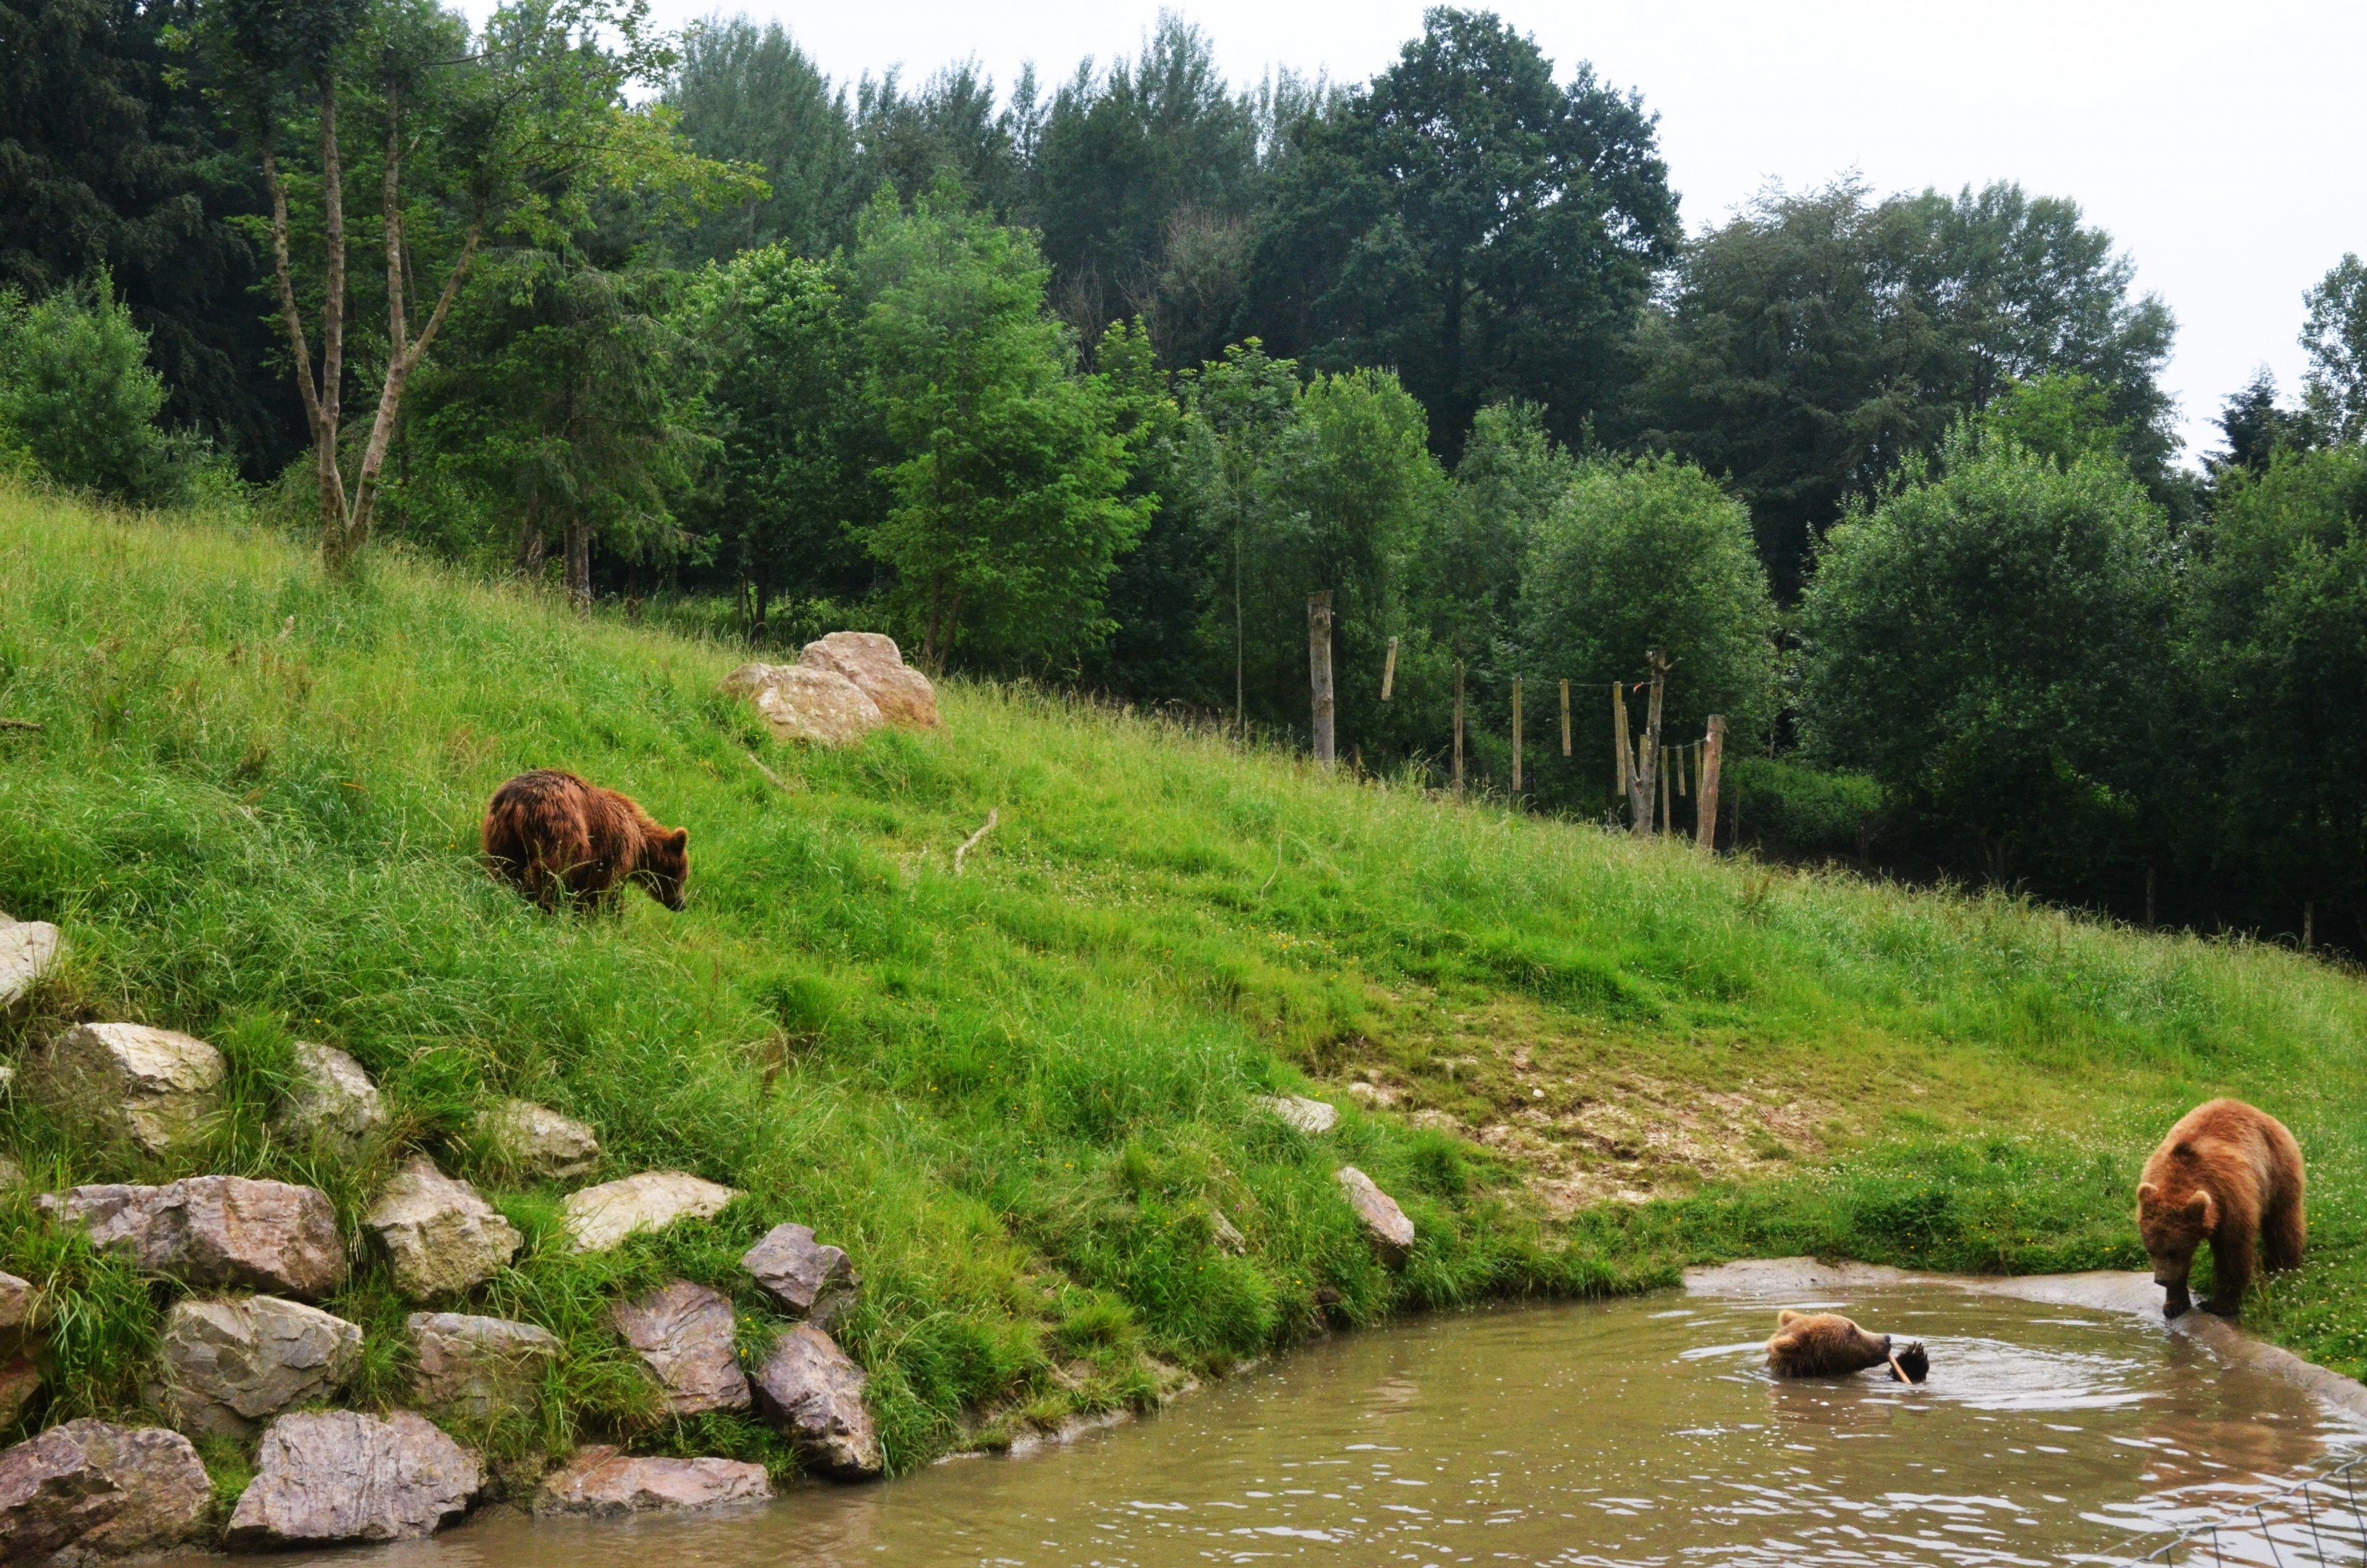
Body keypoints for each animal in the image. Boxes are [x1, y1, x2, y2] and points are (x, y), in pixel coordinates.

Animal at [481, 770, 689, 912]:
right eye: (682, 876)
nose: (681, 904)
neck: (641, 848)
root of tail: (515, 799)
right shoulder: (615, 853)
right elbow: (597, 889)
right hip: (562, 826)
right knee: (551, 868)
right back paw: (543, 903)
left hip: (503, 833)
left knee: (504, 863)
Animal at [2137, 1098, 2305, 1320]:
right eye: (2152, 1250)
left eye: (2172, 1252)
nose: (2160, 1280)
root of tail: (2254, 1110)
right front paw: (2174, 1304)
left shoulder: (2230, 1197)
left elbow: (2233, 1250)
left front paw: (2220, 1305)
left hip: (2277, 1169)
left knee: (2283, 1220)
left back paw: (2284, 1264)